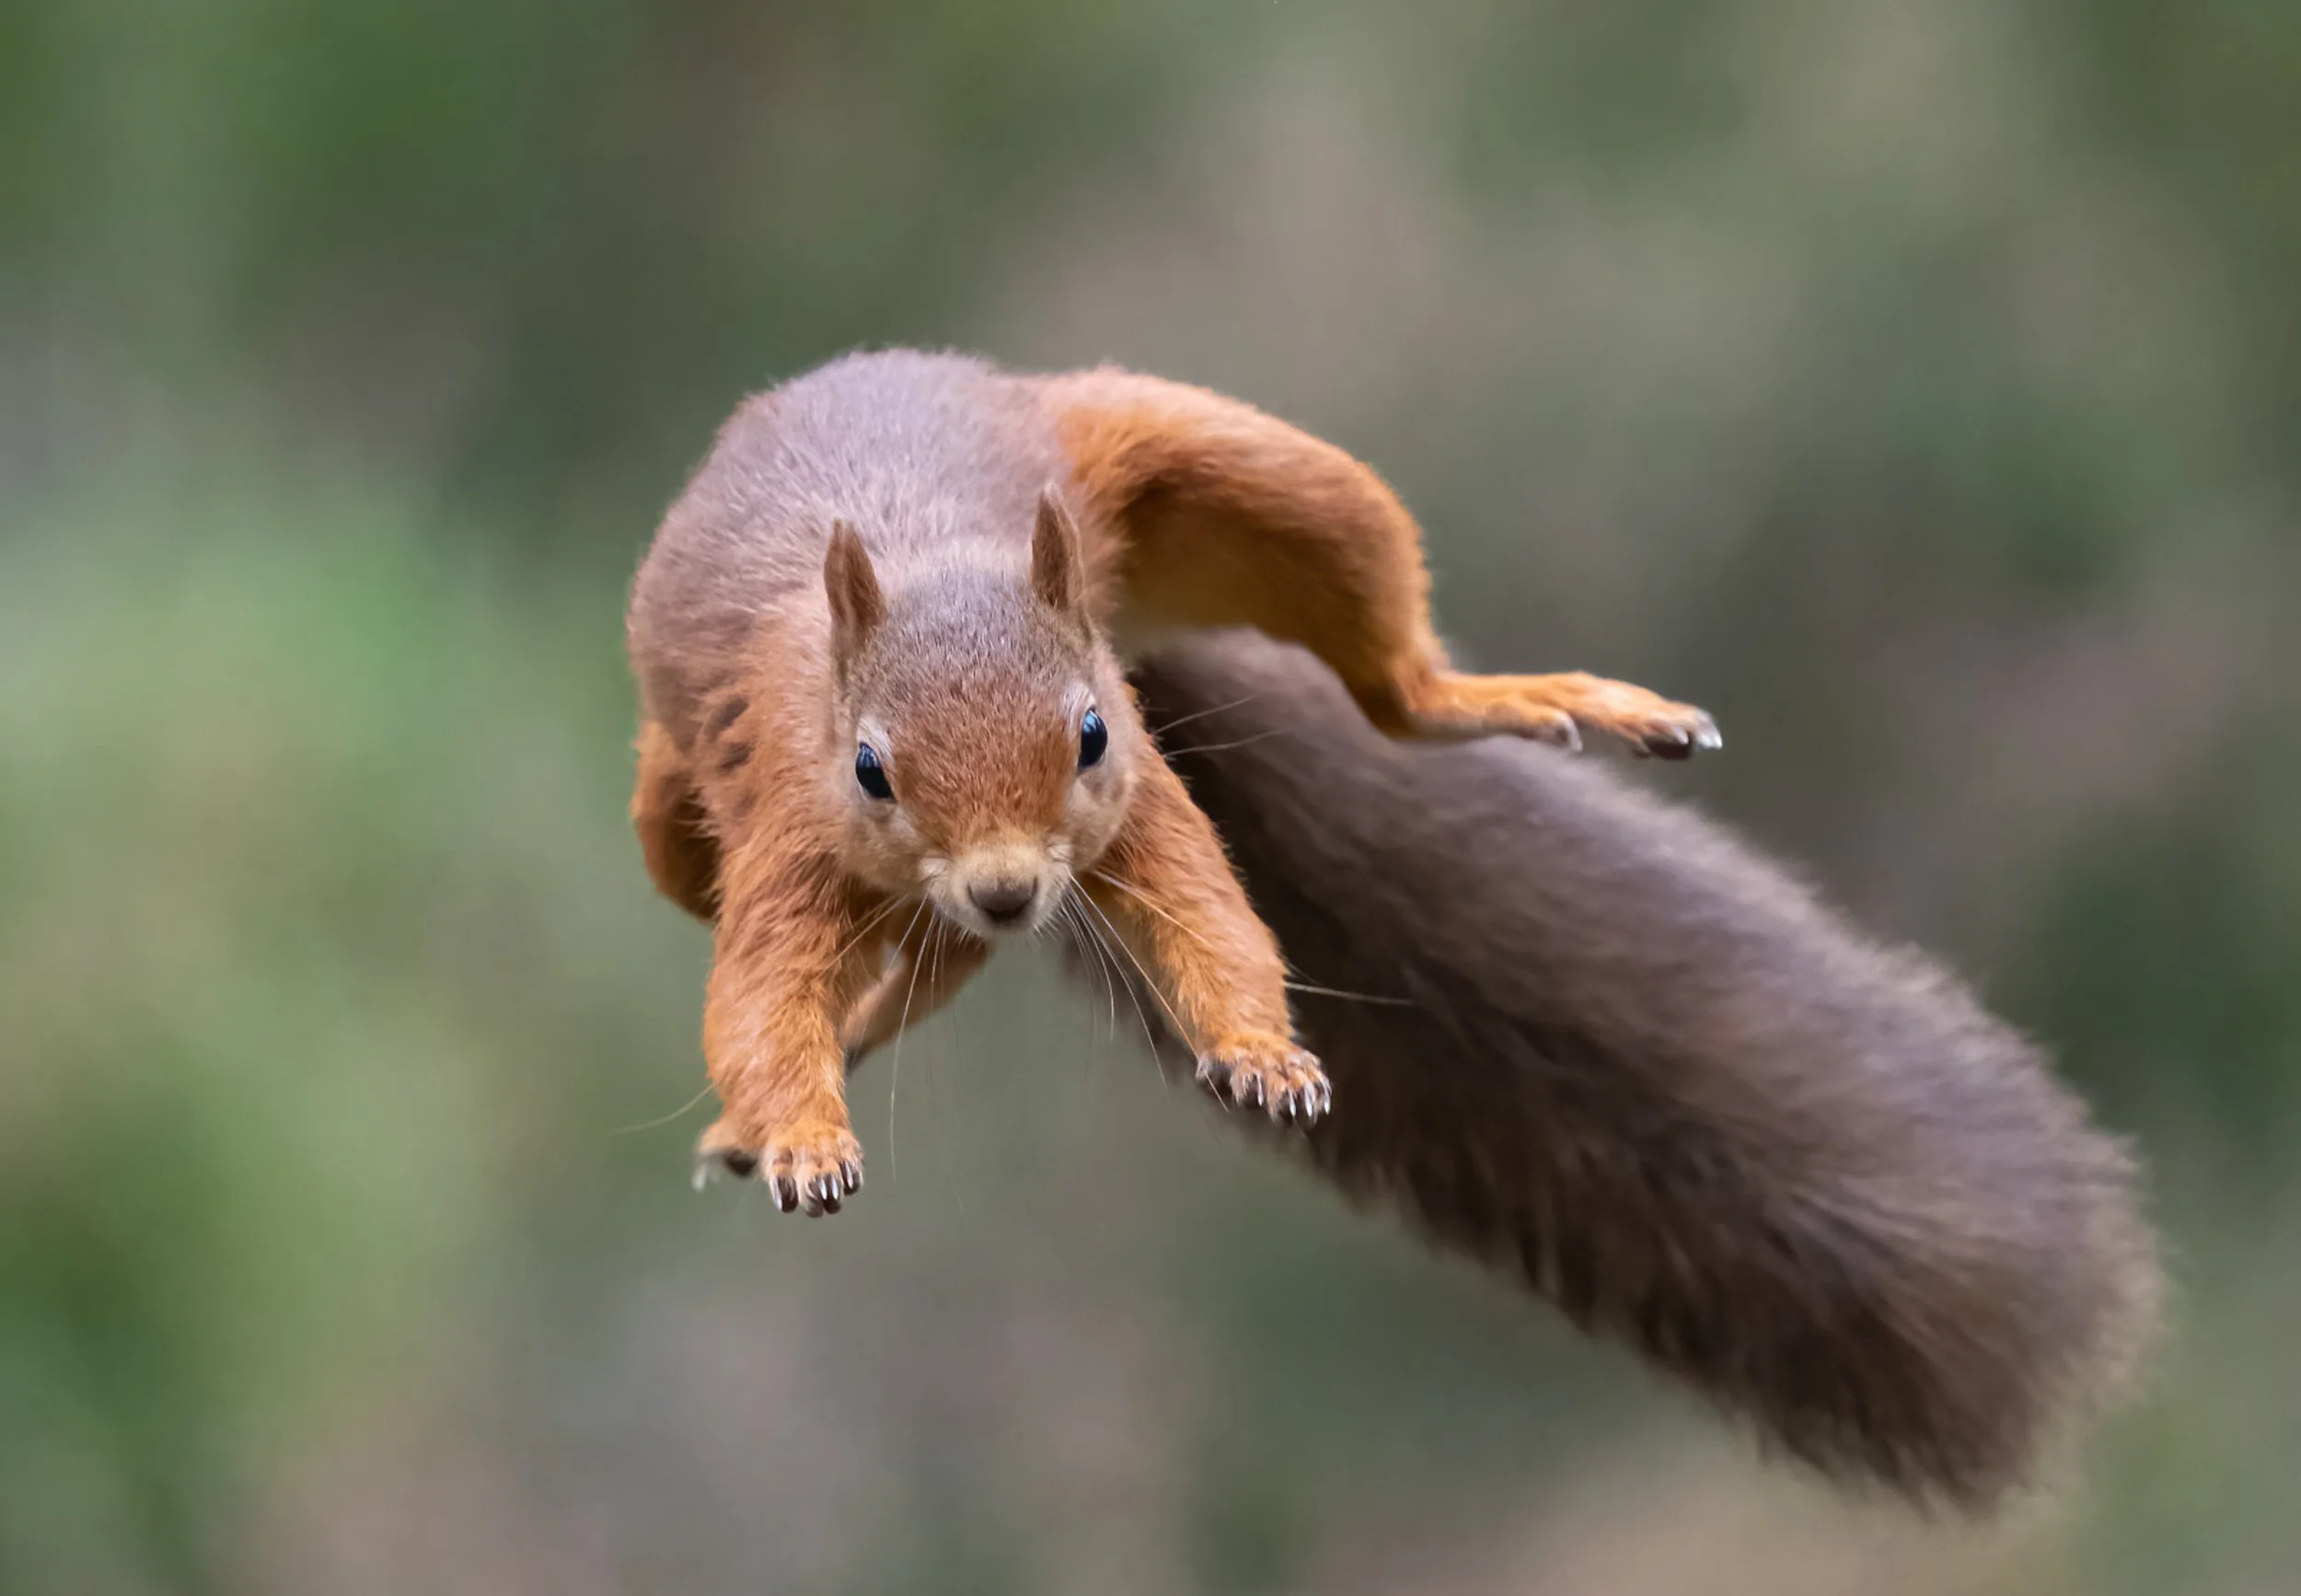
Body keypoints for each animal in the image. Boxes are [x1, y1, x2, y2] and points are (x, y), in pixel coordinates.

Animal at [627, 348, 2159, 1507]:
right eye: (873, 768)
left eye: (1090, 732)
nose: (1008, 882)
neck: (943, 561)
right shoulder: (793, 831)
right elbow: (762, 1003)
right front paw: (801, 1128)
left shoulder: (1139, 806)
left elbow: (1213, 917)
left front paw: (1258, 1051)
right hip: (676, 814)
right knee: (870, 933)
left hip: (1232, 467)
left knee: (1394, 684)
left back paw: (1533, 696)